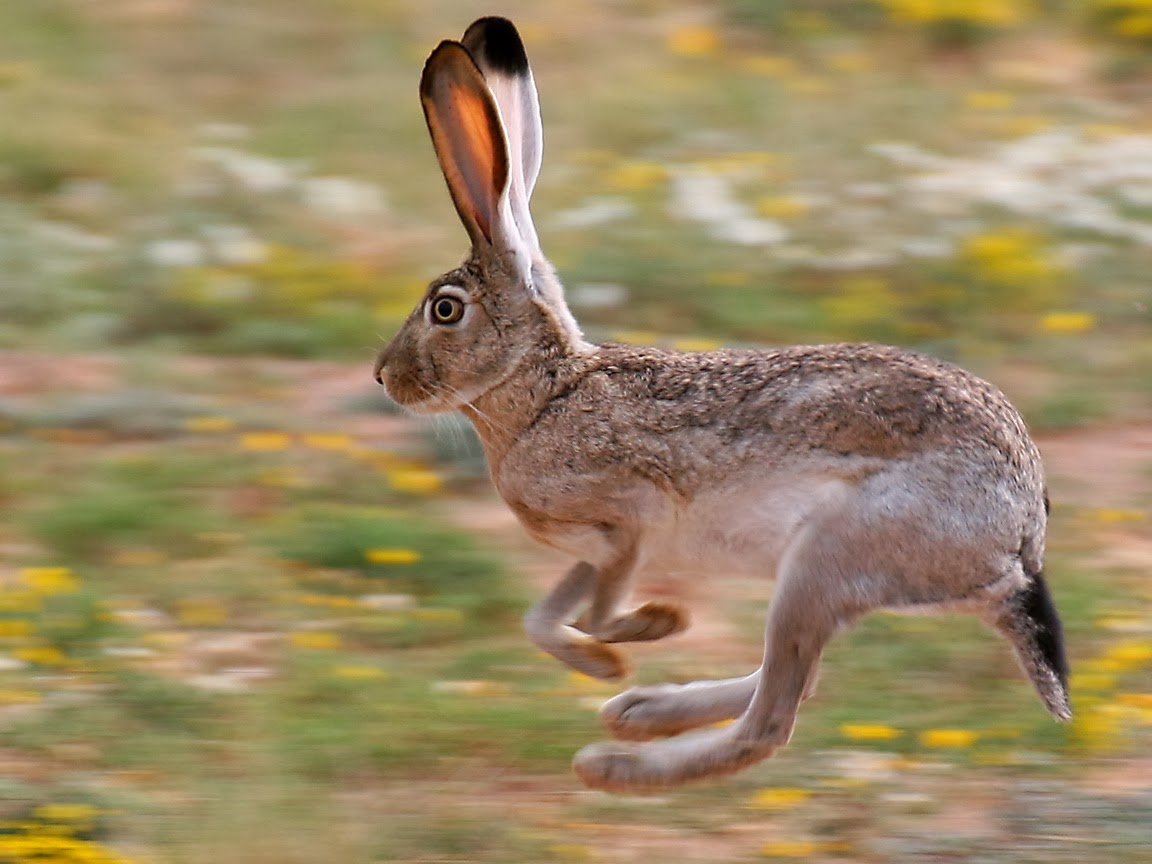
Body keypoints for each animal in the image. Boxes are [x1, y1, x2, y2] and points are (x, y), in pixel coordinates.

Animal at [373, 17, 1071, 791]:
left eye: (445, 309)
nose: (382, 376)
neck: (545, 393)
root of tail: (1019, 540)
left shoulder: (630, 518)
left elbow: (600, 605)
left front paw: (650, 628)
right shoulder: (591, 548)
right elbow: (544, 617)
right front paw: (607, 661)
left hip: (824, 559)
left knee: (772, 719)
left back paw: (615, 763)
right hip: (826, 577)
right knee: (797, 680)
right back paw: (639, 709)